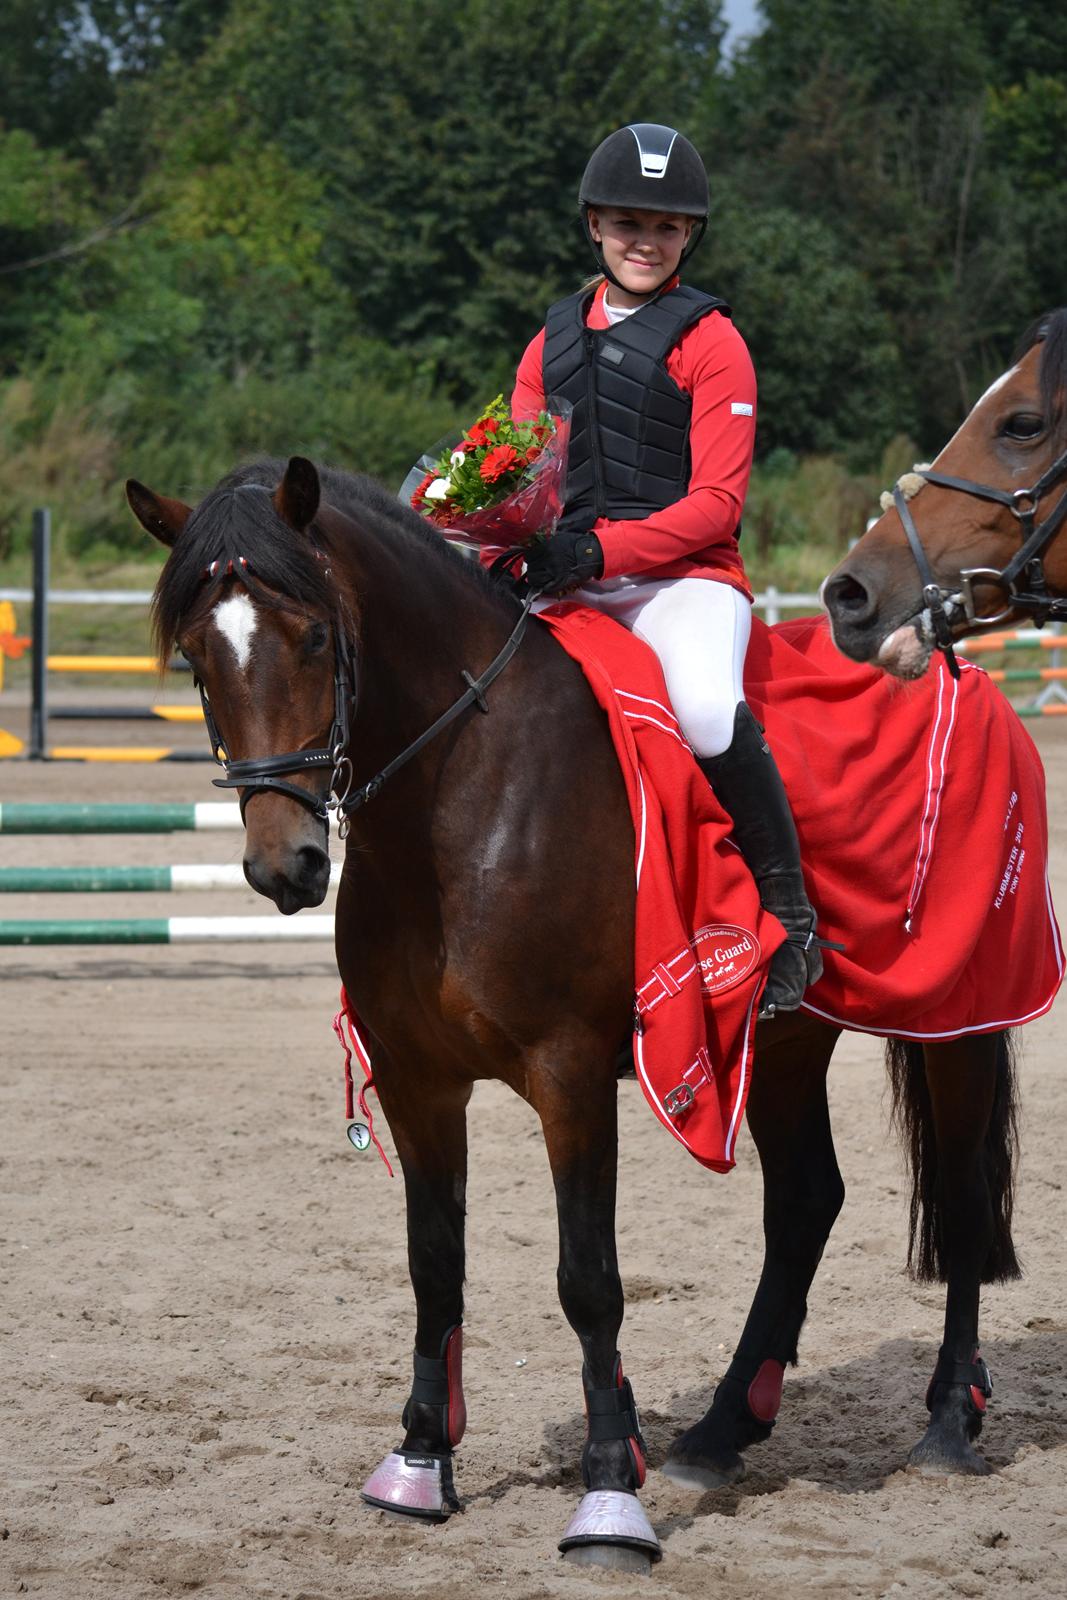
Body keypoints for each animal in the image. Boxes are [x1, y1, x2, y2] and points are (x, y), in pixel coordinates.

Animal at [129, 457, 1023, 1568]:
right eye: (198, 657)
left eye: (316, 638)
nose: (282, 865)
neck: (464, 800)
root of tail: (957, 670)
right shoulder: (417, 1081)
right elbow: (434, 1265)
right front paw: (419, 1461)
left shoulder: (569, 1075)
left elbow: (587, 1279)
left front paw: (608, 1496)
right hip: (782, 1045)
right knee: (805, 1202)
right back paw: (720, 1432)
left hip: (956, 1027)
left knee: (959, 1199)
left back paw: (944, 1424)